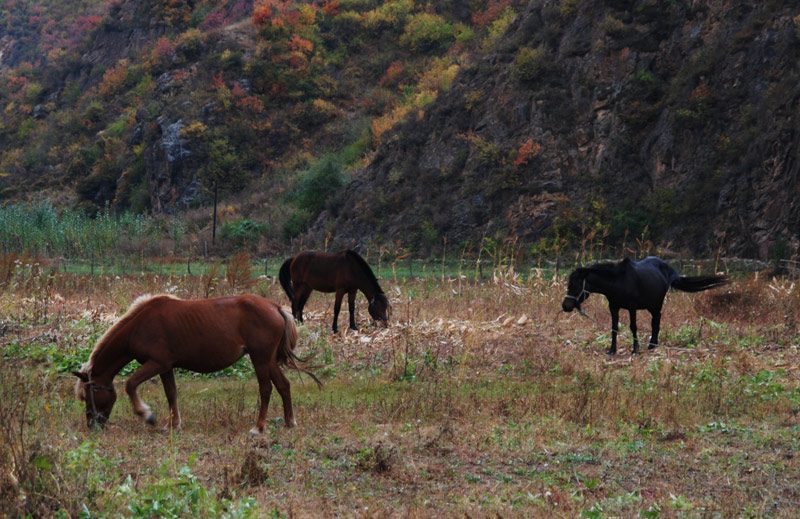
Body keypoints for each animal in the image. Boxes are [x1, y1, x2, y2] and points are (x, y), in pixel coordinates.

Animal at [71, 294, 316, 432]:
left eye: (89, 395)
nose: (92, 425)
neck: (138, 327)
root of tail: (276, 307)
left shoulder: (156, 363)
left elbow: (131, 385)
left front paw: (147, 415)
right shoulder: (166, 367)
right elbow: (171, 394)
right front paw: (174, 424)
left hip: (260, 359)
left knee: (265, 389)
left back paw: (258, 427)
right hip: (269, 360)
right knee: (283, 386)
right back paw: (289, 422)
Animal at [564, 256, 732, 356]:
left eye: (575, 285)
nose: (565, 306)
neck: (617, 281)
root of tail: (669, 270)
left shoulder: (631, 307)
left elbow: (633, 327)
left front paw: (635, 350)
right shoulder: (613, 307)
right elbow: (614, 328)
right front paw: (612, 350)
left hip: (655, 305)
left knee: (656, 321)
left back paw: (652, 345)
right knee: (655, 321)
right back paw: (653, 344)